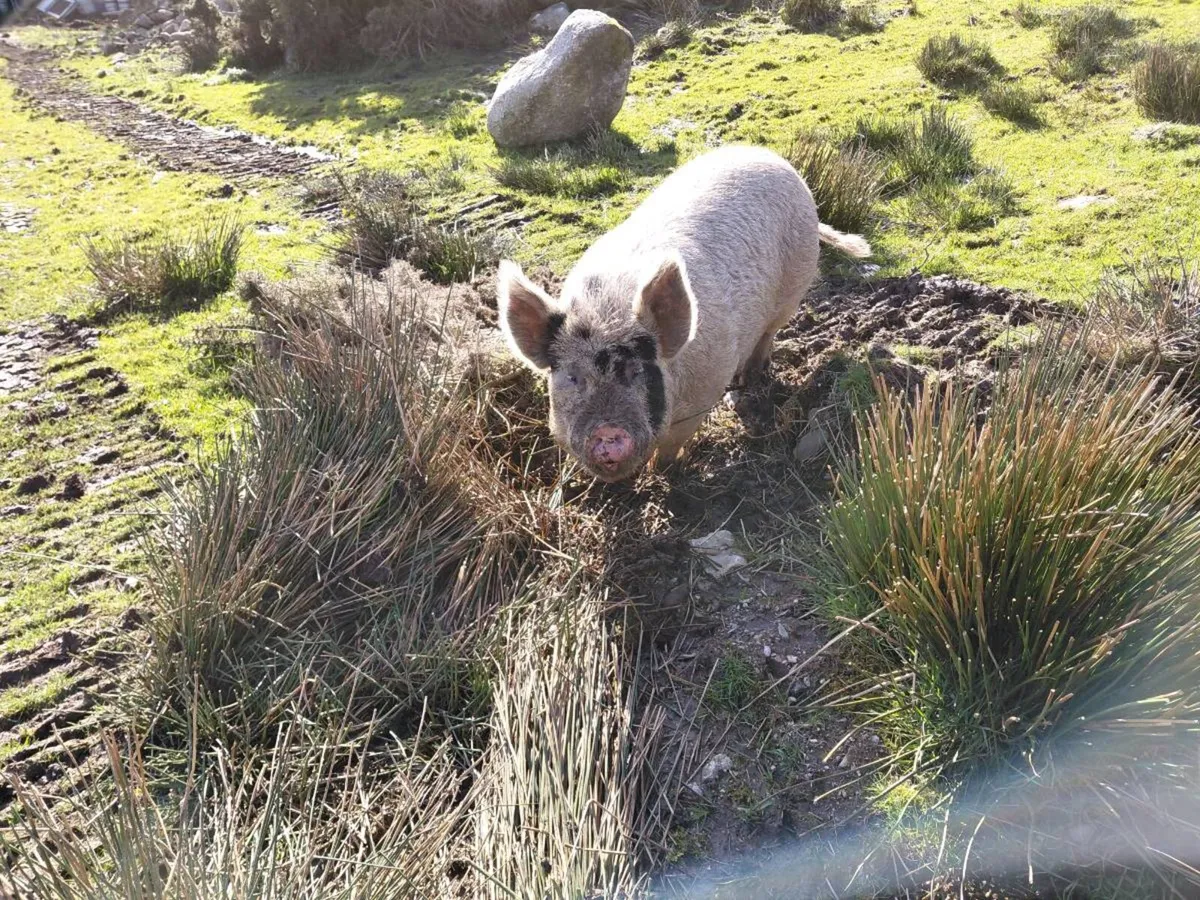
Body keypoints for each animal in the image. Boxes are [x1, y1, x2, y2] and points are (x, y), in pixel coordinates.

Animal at [496, 144, 871, 482]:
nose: (607, 433)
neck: (606, 312)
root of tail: (774, 158)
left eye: (636, 372)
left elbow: (670, 447)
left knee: (769, 332)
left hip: (796, 283)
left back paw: (750, 376)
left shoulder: (703, 393)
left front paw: (661, 473)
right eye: (573, 377)